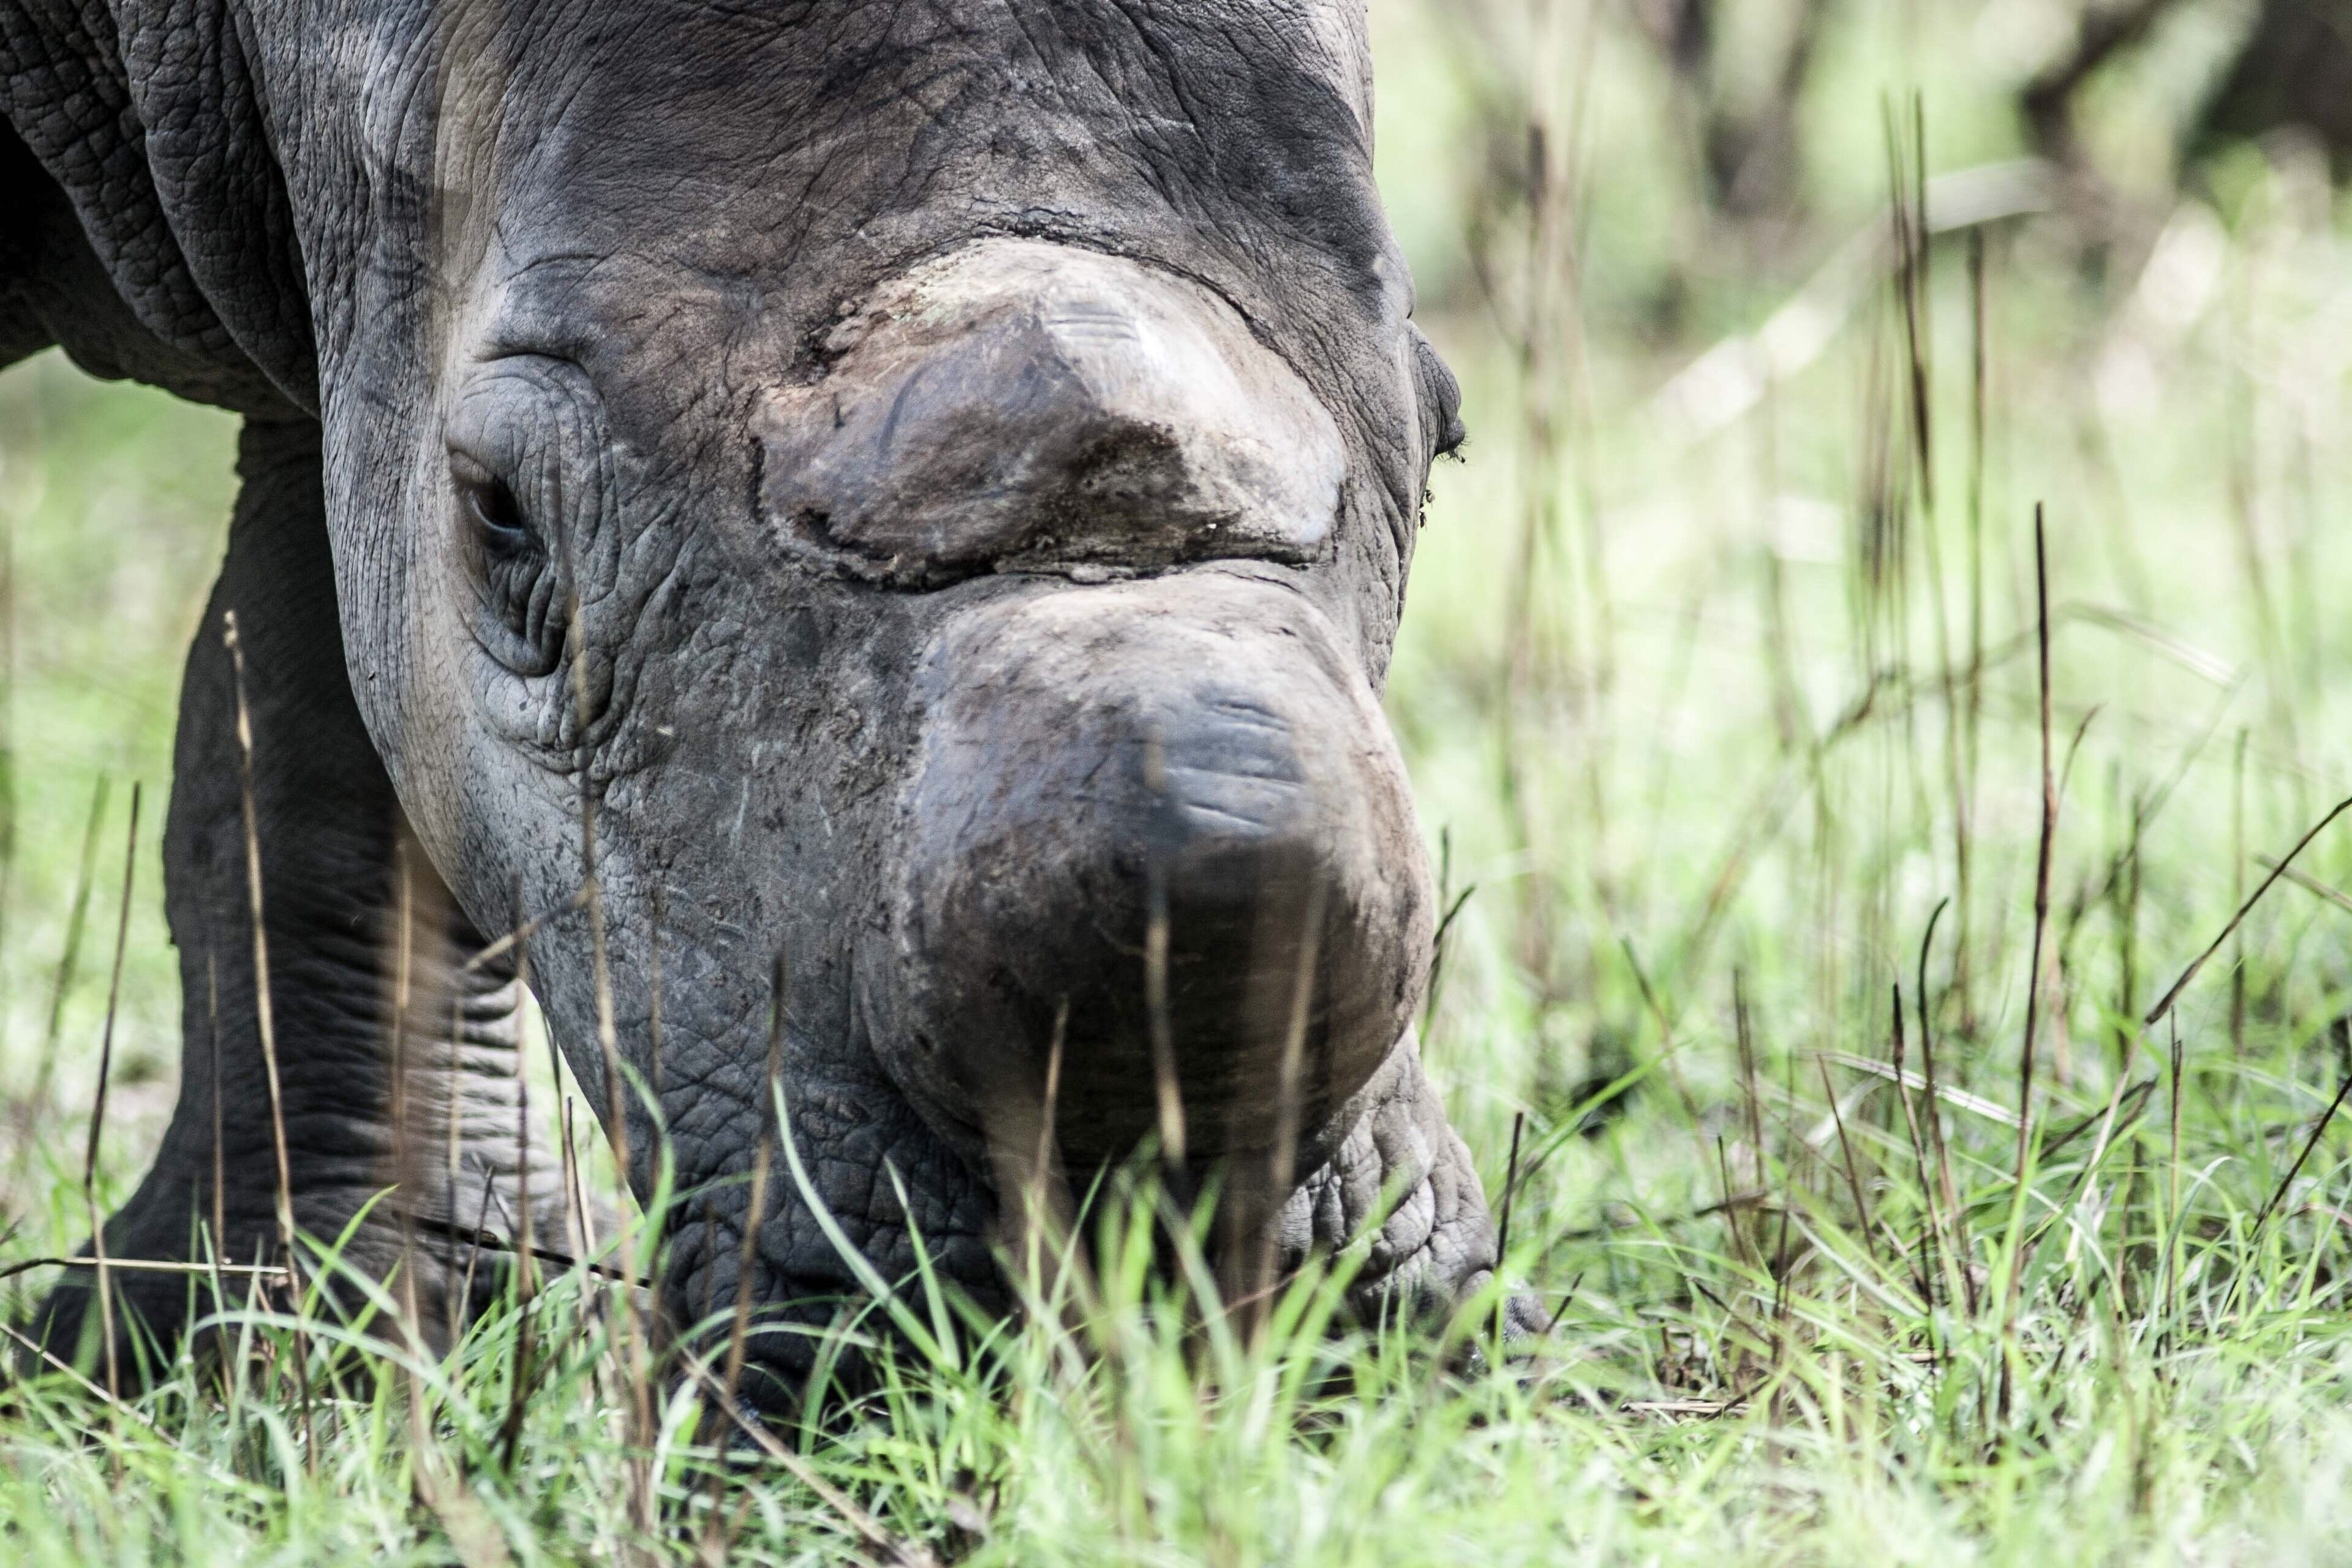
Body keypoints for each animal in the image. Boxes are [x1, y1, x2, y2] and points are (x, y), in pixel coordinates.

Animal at [2, 0, 1534, 1396]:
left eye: (1450, 441)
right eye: (506, 517)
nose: (1165, 1309)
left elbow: (324, 735)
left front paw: (325, 1345)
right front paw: (299, 1360)